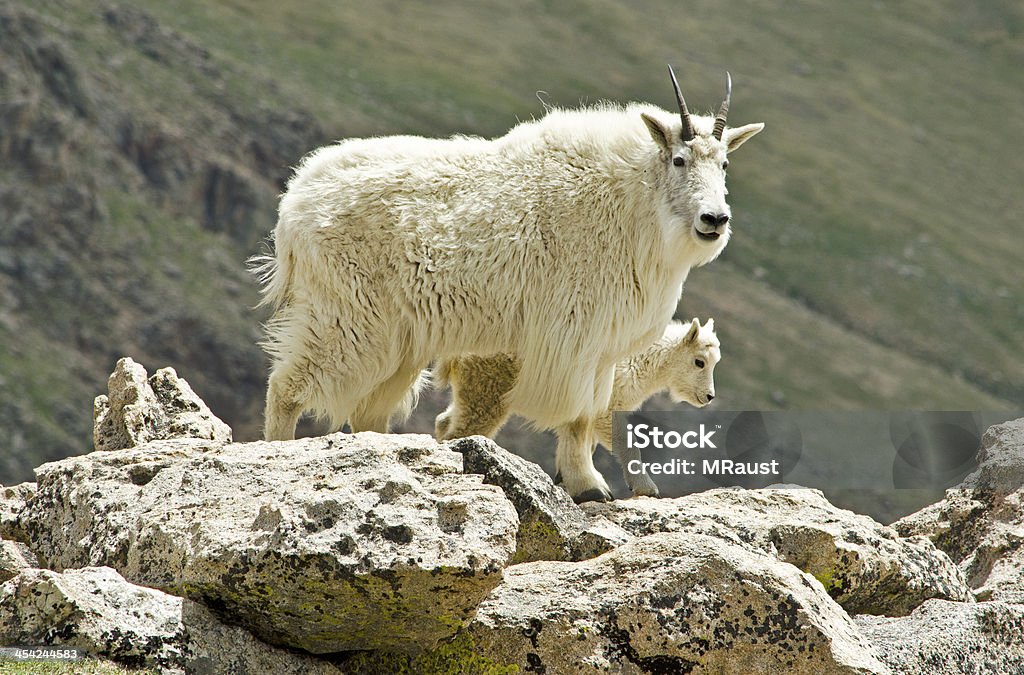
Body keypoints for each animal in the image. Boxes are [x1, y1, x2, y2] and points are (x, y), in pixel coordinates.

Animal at [436, 317, 724, 501]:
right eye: (699, 361)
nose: (709, 396)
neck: (644, 360)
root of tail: (454, 354)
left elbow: (582, 441)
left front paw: (570, 480)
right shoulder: (606, 404)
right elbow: (622, 442)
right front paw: (645, 488)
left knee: (446, 419)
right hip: (489, 385)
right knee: (466, 427)